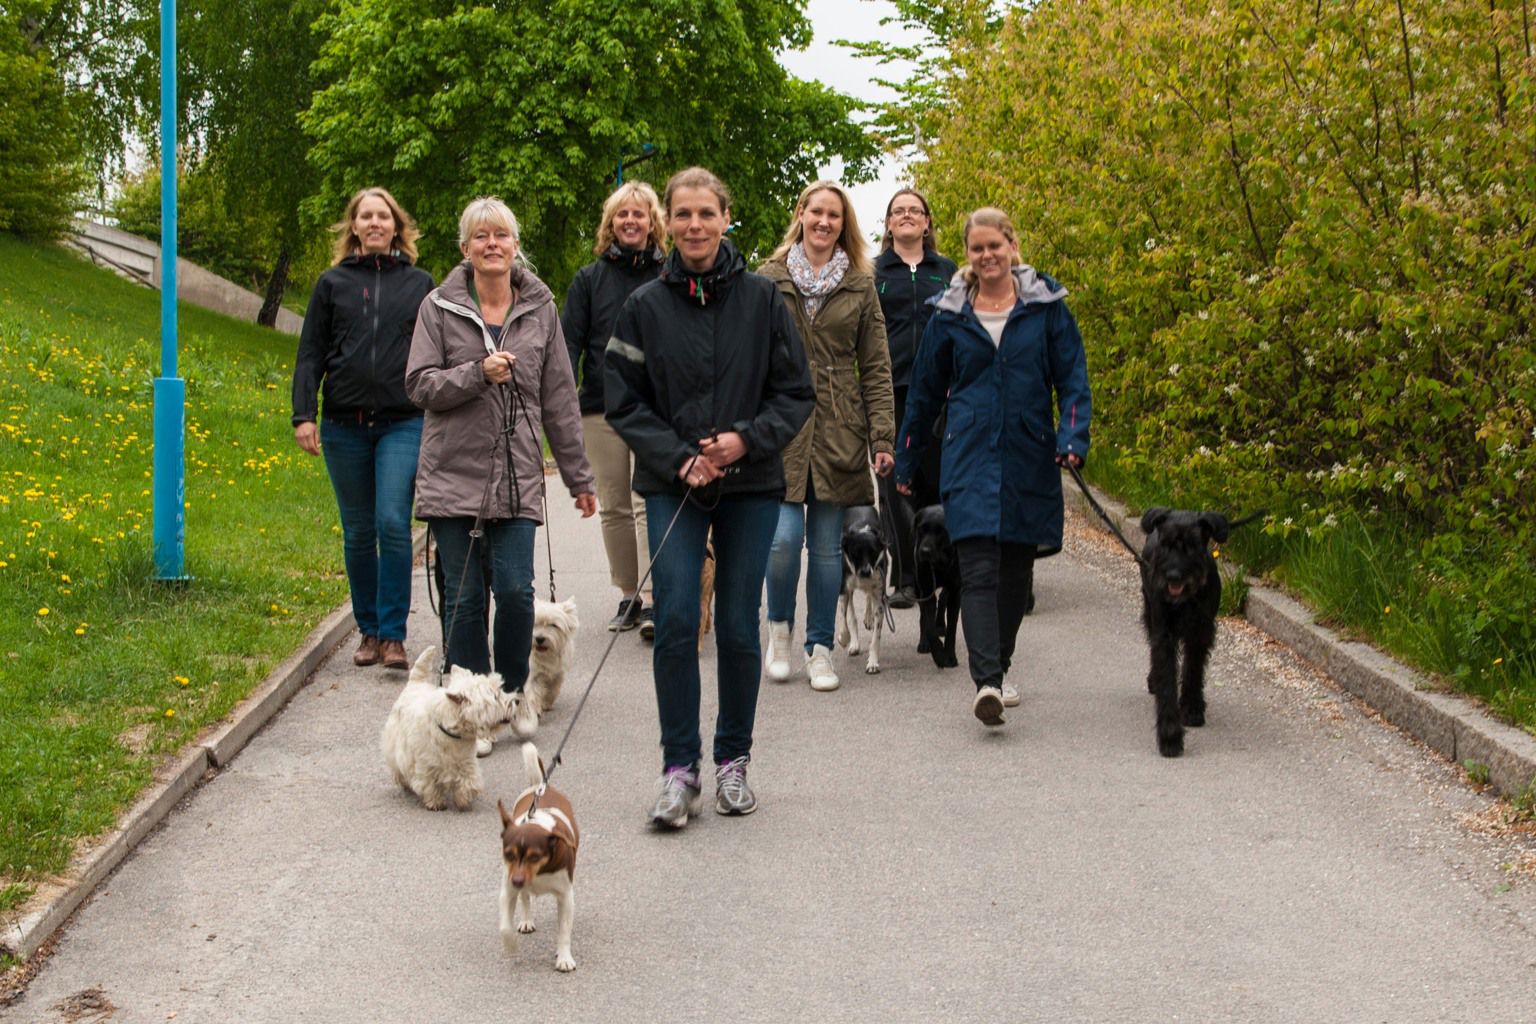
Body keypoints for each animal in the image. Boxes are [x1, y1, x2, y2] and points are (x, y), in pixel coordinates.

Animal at [379, 647, 519, 810]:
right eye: (495, 696)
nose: (517, 701)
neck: (453, 733)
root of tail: (415, 684)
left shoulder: (466, 760)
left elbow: (469, 780)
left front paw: (463, 798)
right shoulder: (424, 764)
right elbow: (428, 784)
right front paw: (436, 802)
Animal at [500, 746, 577, 970]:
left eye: (535, 857)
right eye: (509, 854)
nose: (517, 879)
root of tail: (539, 785)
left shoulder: (566, 896)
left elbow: (563, 932)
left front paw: (564, 958)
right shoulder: (507, 889)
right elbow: (504, 927)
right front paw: (511, 946)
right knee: (525, 897)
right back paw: (526, 920)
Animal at [909, 506, 958, 672]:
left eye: (941, 531)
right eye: (922, 529)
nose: (924, 551)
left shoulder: (956, 590)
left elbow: (952, 629)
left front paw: (950, 656)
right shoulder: (926, 590)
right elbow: (929, 626)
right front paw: (939, 655)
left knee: (943, 597)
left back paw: (941, 625)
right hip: (918, 588)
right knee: (924, 618)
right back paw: (924, 642)